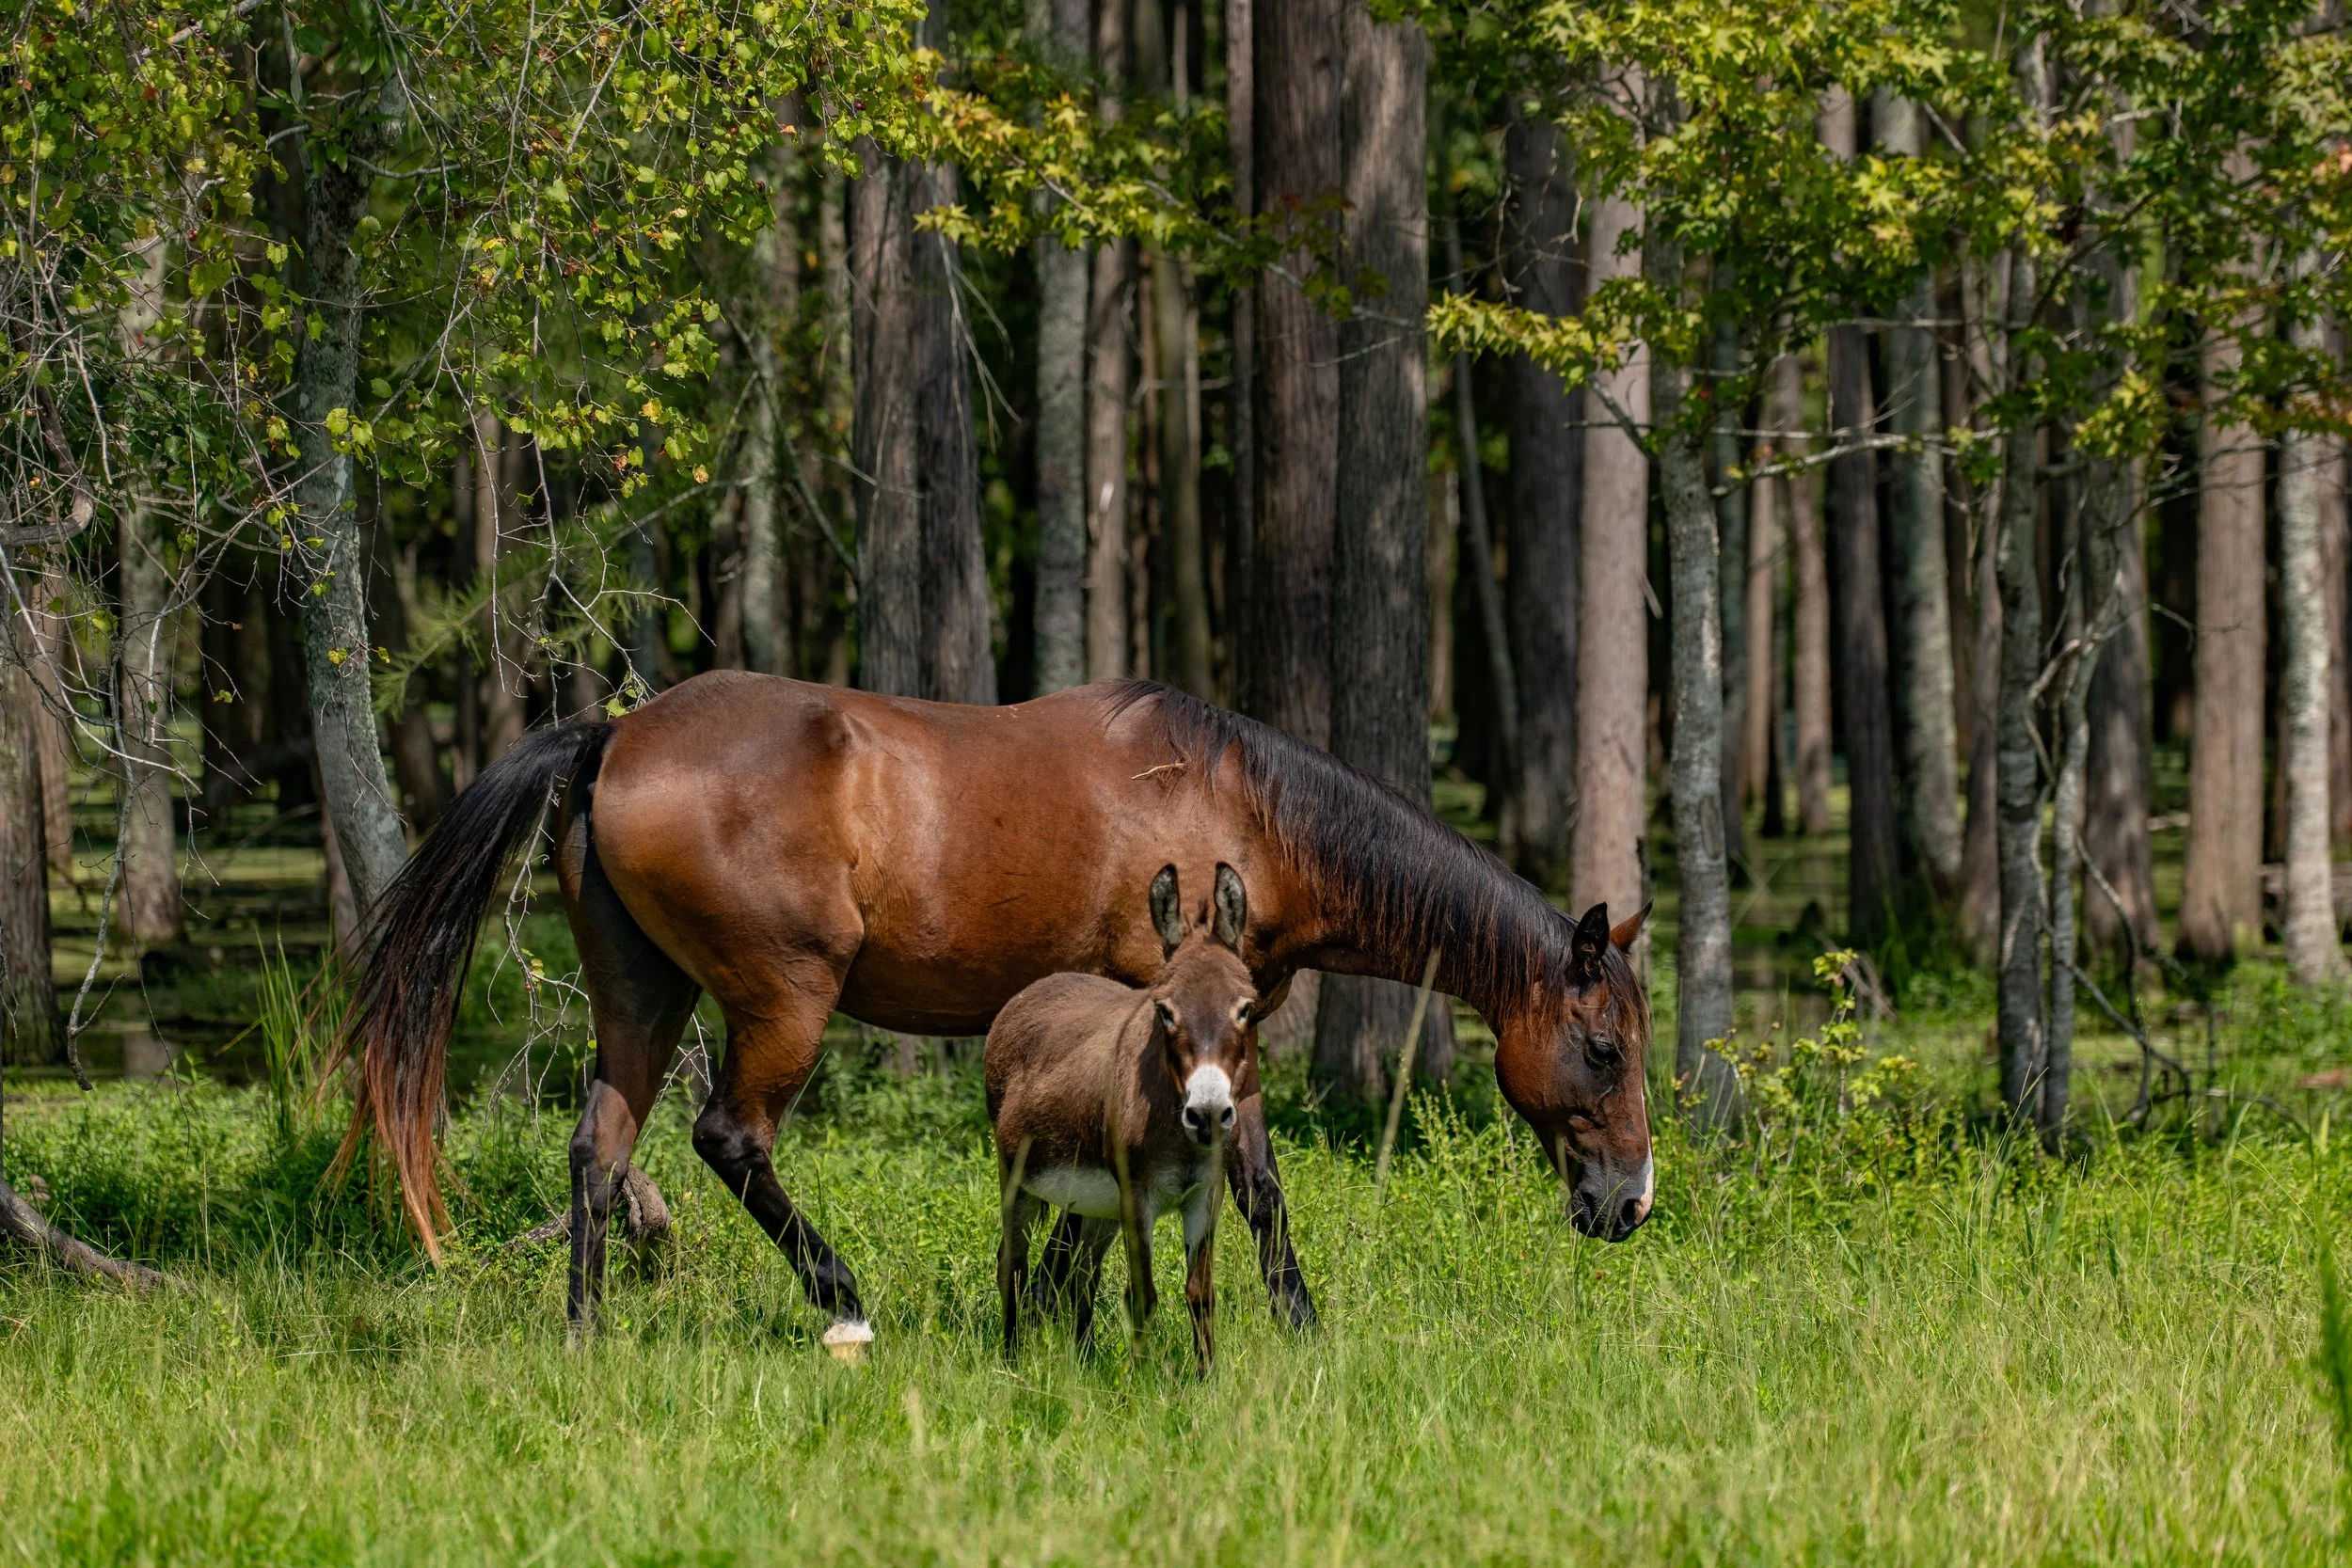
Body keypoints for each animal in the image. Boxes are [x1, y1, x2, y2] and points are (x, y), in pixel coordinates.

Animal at [988, 862, 1258, 1371]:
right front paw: (1141, 1378)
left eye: (1246, 1009)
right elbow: (1142, 1296)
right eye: (1165, 1011)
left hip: (1098, 1204)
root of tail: (1037, 987)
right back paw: (1010, 1359)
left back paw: (1085, 1359)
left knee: (1081, 1274)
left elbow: (1201, 1295)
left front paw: (1207, 1377)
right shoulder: (1138, 1195)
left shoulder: (1206, 1195)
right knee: (1011, 1263)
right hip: (1017, 1178)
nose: (1208, 1115)